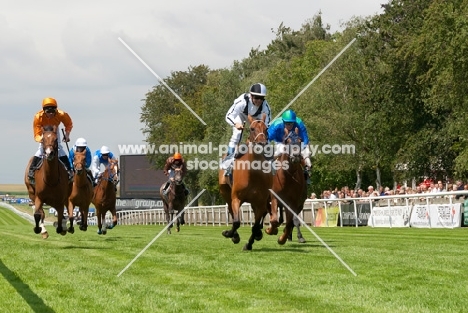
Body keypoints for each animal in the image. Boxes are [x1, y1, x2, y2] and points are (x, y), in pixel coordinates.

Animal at [218, 113, 276, 250]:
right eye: (252, 129)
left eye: (266, 129)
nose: (262, 143)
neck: (253, 174)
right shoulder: (236, 198)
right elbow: (236, 221)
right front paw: (230, 234)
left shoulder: (260, 202)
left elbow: (255, 225)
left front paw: (249, 244)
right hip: (225, 192)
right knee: (230, 210)